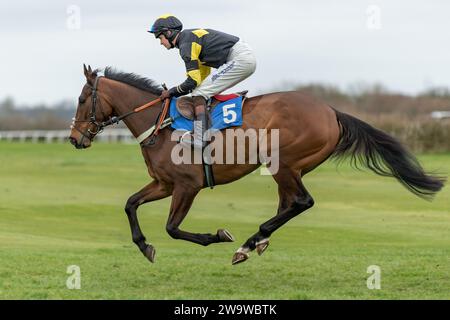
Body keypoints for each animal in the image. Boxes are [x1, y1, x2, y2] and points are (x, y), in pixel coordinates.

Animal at [68, 65, 444, 264]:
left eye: (83, 99)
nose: (74, 138)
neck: (160, 123)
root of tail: (331, 111)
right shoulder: (164, 183)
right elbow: (130, 204)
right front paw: (144, 245)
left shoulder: (187, 186)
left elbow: (173, 228)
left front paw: (218, 235)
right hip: (290, 168)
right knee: (290, 202)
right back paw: (257, 241)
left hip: (284, 162)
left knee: (302, 201)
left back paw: (250, 242)